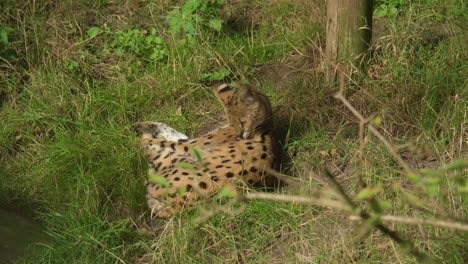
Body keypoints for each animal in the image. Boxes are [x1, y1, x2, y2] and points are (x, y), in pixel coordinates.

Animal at [135, 83, 274, 218]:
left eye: (242, 121)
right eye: (232, 122)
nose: (240, 135)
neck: (265, 123)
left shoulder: (192, 146)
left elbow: (163, 141)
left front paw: (145, 131)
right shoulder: (190, 142)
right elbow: (173, 133)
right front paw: (147, 125)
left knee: (150, 152)